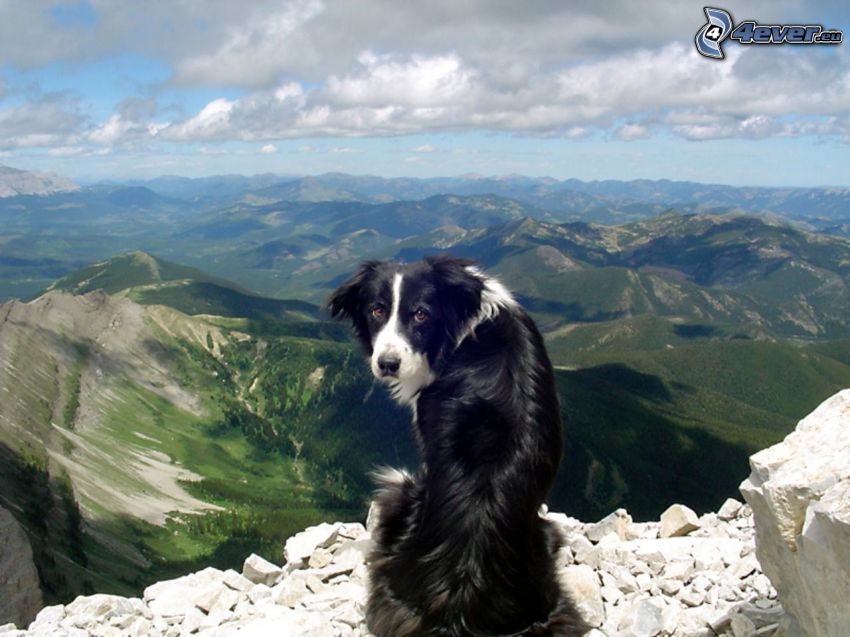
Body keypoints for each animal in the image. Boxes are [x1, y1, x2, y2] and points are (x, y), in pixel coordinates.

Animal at [326, 255, 588, 636]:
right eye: (376, 310)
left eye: (421, 314)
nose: (387, 365)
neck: (464, 324)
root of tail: (458, 611)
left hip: (400, 489)